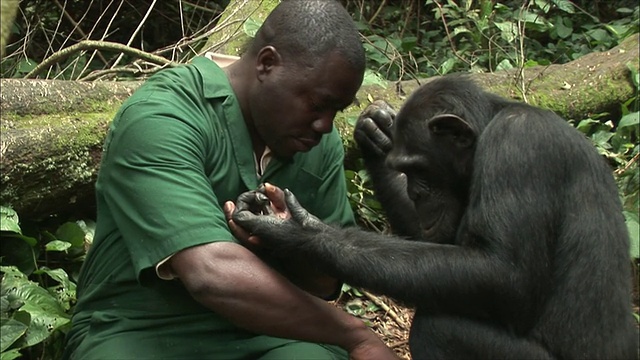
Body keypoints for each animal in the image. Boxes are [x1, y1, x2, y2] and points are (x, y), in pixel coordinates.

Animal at [232, 76, 636, 360]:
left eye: (419, 169)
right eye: (403, 169)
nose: (415, 193)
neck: (489, 128)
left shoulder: (518, 147)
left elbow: (502, 272)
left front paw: (299, 231)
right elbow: (438, 248)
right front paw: (375, 132)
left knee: (438, 328)